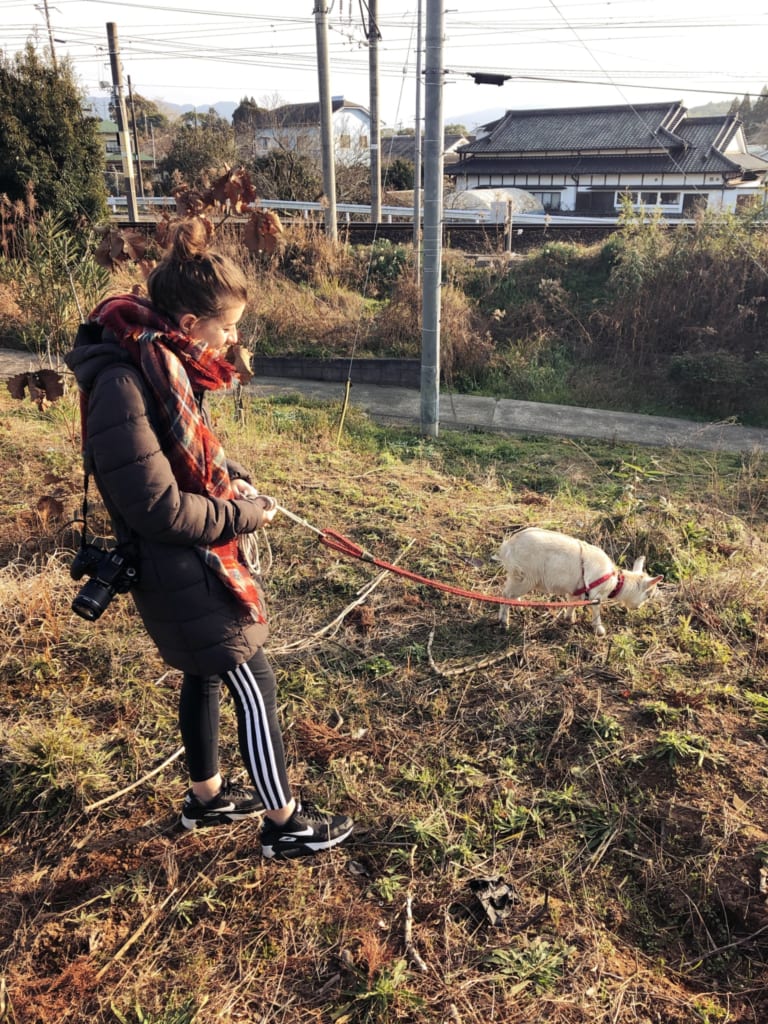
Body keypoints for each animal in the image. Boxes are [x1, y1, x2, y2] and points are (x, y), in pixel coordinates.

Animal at [497, 527, 662, 636]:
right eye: (648, 595)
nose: (638, 608)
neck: (615, 582)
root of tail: (508, 546)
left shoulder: (576, 590)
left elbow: (572, 603)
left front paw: (569, 619)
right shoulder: (596, 595)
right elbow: (596, 612)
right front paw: (600, 630)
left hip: (518, 577)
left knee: (510, 594)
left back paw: (518, 606)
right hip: (525, 576)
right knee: (505, 594)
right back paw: (504, 621)